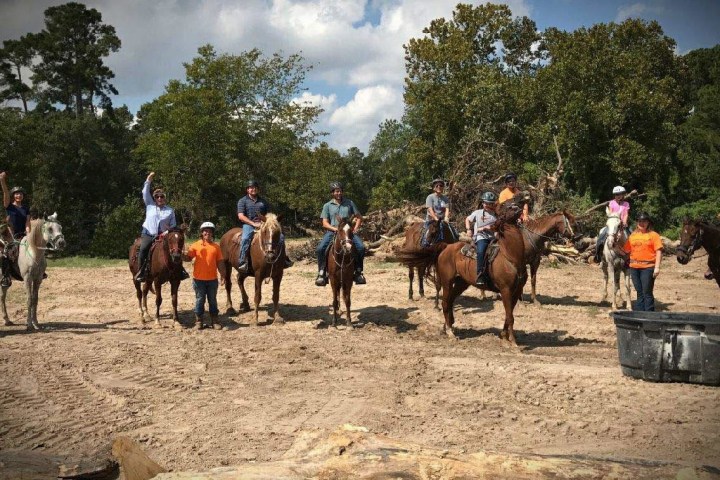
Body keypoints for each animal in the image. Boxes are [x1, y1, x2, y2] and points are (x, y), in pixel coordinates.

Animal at [436, 199, 524, 344]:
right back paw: (449, 332)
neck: (510, 256)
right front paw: (512, 341)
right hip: (447, 281)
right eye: (503, 206)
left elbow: (508, 315)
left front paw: (503, 334)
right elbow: (510, 316)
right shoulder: (505, 290)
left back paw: (448, 327)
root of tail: (447, 247)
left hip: (461, 283)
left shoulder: (516, 291)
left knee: (450, 301)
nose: (517, 207)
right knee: (445, 303)